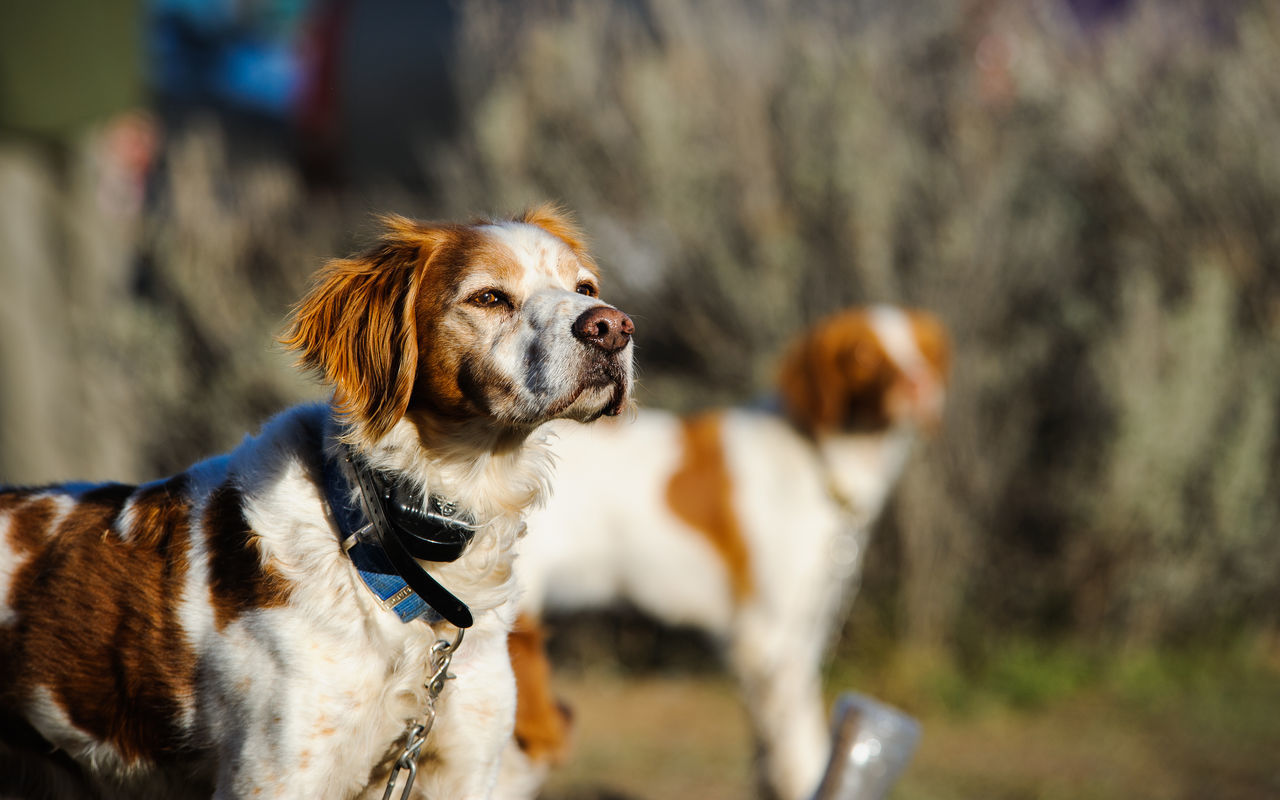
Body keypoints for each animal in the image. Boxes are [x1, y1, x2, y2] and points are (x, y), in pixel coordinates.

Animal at [509, 305, 952, 798]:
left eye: (922, 350)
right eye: (861, 355)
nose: (920, 387)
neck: (818, 456)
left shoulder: (803, 628)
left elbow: (771, 752)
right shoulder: (770, 637)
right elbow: (798, 750)